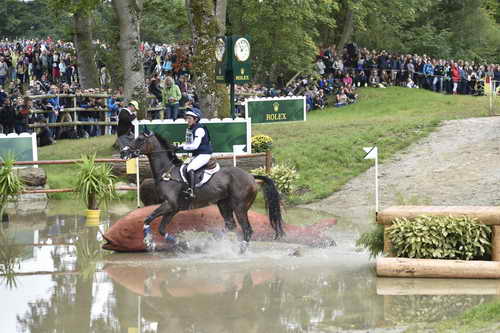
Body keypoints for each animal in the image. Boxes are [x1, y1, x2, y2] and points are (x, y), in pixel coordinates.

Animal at [120, 129, 286, 249]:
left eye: (139, 139)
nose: (123, 152)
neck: (167, 171)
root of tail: (251, 176)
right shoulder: (173, 208)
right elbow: (161, 229)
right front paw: (183, 243)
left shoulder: (169, 205)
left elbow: (148, 218)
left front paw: (148, 241)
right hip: (223, 204)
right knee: (230, 225)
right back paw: (211, 242)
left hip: (239, 207)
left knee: (247, 230)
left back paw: (239, 251)